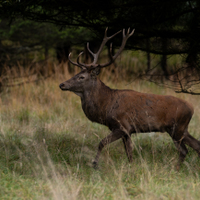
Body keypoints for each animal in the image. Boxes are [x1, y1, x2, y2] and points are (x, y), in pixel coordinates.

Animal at [59, 27, 200, 169]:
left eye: (82, 77)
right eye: (77, 73)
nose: (62, 84)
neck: (106, 106)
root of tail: (192, 108)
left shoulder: (122, 126)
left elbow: (102, 143)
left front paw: (95, 164)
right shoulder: (128, 132)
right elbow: (129, 153)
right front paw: (131, 167)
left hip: (177, 128)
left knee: (184, 150)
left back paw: (175, 169)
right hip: (182, 129)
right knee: (197, 145)